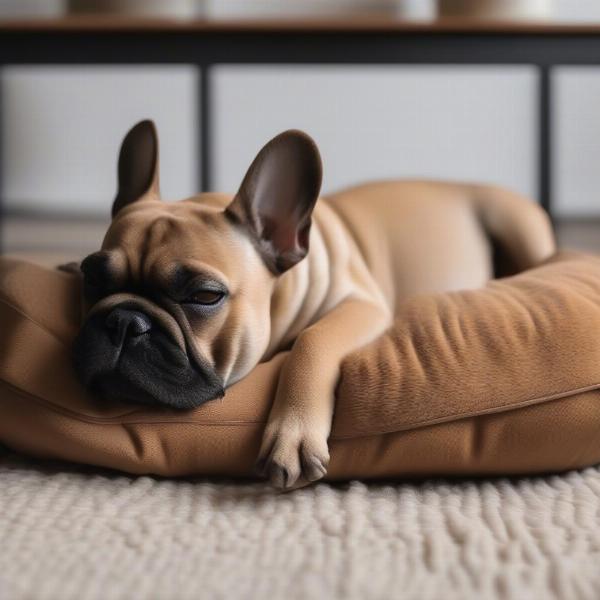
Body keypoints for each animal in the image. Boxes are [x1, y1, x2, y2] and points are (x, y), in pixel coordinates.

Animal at [72, 120, 556, 488]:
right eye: (91, 276)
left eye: (204, 297)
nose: (125, 321)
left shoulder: (362, 305)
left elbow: (313, 340)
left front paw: (294, 433)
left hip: (517, 223)